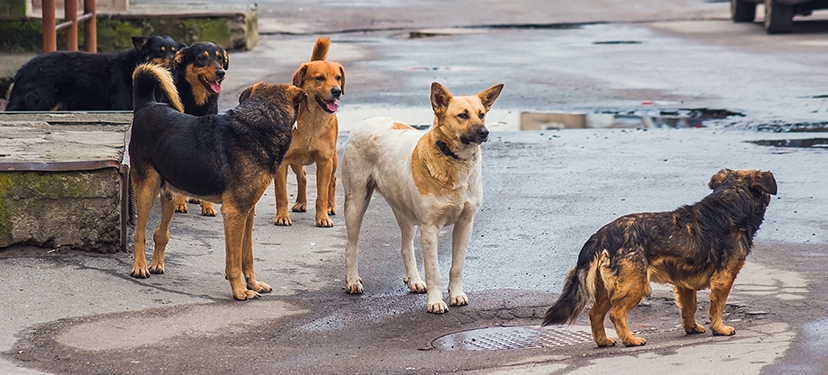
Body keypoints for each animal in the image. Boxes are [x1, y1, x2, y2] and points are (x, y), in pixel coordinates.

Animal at [6, 34, 183, 111]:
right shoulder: (124, 105)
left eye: (174, 52)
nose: (172, 62)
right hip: (39, 103)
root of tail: (23, 69)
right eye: (159, 51)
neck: (134, 65)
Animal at [128, 63, 308, 302]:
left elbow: (247, 255)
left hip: (169, 194)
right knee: (139, 233)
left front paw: (253, 284)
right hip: (146, 189)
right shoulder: (234, 213)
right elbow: (234, 261)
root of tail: (146, 105)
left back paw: (156, 263)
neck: (262, 121)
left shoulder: (247, 212)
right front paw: (240, 290)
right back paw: (139, 267)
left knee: (160, 233)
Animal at [167, 41, 230, 217]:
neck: (197, 101)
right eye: (202, 58)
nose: (221, 72)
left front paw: (207, 206)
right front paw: (179, 203)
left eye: (220, 58)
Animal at [340, 82, 502, 314]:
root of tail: (367, 119)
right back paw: (352, 281)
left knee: (406, 246)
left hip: (404, 212)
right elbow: (434, 271)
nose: (484, 132)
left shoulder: (465, 224)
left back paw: (414, 280)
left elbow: (457, 267)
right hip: (356, 202)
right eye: (462, 115)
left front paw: (456, 294)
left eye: (482, 114)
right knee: (351, 245)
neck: (453, 160)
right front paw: (435, 302)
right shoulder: (430, 228)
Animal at [544, 169, 776, 348]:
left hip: (606, 289)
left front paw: (691, 328)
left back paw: (603, 341)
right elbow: (717, 307)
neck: (730, 204)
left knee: (595, 314)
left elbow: (689, 308)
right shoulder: (724, 278)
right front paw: (719, 328)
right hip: (635, 285)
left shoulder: (685, 284)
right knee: (616, 314)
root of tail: (600, 237)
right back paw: (630, 340)